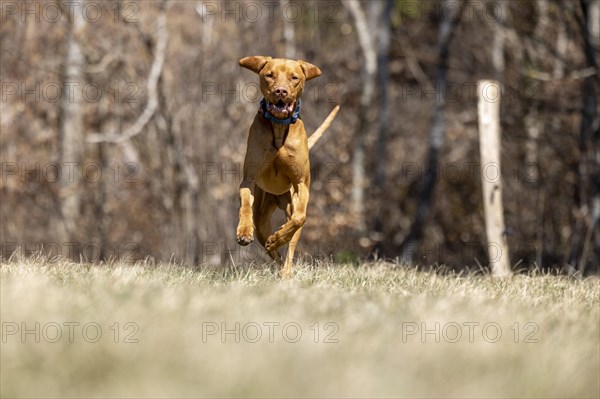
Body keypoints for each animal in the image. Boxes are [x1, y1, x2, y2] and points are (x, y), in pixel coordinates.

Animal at [236, 56, 338, 278]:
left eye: (294, 77)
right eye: (269, 75)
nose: (281, 91)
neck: (279, 126)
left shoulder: (302, 185)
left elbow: (300, 218)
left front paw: (278, 238)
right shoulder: (249, 179)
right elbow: (245, 205)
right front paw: (244, 232)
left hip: (290, 203)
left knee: (291, 239)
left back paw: (284, 264)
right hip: (262, 217)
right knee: (270, 248)